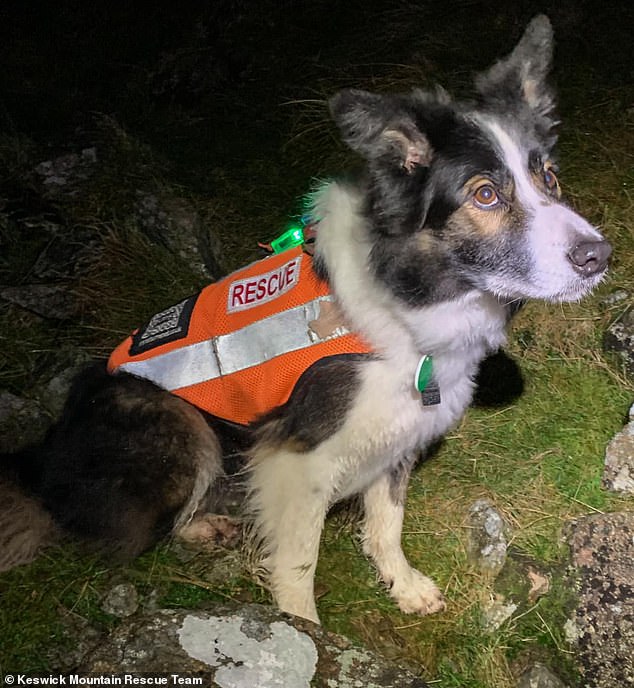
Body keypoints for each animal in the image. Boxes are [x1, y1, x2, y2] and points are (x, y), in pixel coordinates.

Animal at [1, 14, 612, 624]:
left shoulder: (398, 433)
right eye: (485, 194)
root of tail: (42, 462)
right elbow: (299, 560)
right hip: (179, 422)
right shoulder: (297, 458)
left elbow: (386, 525)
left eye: (549, 178)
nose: (599, 256)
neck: (403, 301)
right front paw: (302, 628)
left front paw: (404, 586)